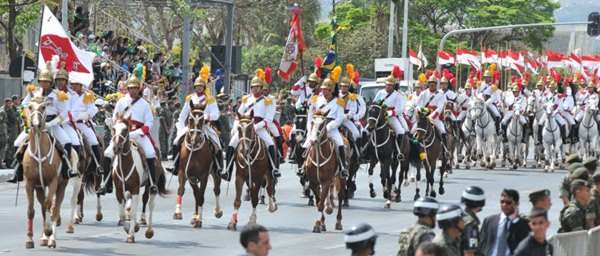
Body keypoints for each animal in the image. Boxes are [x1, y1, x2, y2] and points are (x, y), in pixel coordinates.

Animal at [22, 98, 66, 248]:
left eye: (43, 107)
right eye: (30, 106)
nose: (36, 124)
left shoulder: (53, 181)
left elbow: (49, 205)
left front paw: (48, 232)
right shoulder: (29, 183)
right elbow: (30, 210)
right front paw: (29, 239)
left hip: (61, 186)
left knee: (55, 208)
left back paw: (51, 238)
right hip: (40, 187)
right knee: (43, 208)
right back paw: (44, 238)